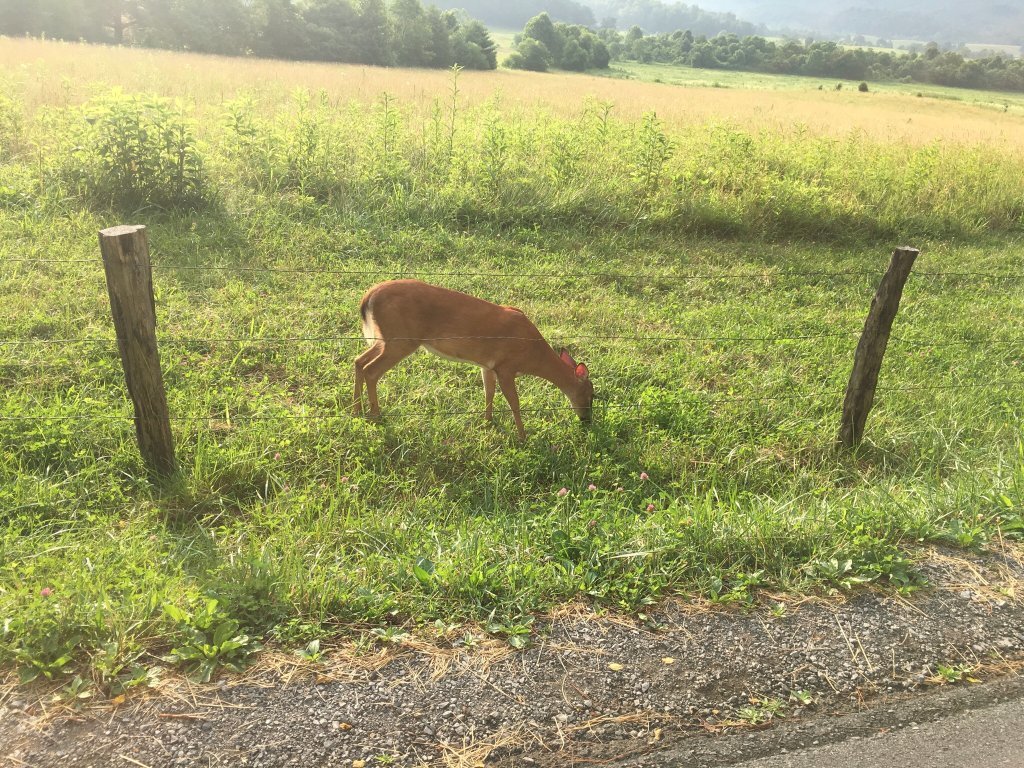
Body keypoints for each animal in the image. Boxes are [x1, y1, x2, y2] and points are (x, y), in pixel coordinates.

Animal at [352, 280, 593, 438]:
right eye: (591, 395)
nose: (587, 421)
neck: (532, 354)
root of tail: (369, 296)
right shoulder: (506, 367)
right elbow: (514, 403)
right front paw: (523, 436)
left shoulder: (488, 365)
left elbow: (488, 392)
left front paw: (487, 421)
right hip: (401, 339)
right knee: (371, 370)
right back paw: (376, 416)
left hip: (386, 339)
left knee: (359, 361)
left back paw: (356, 411)